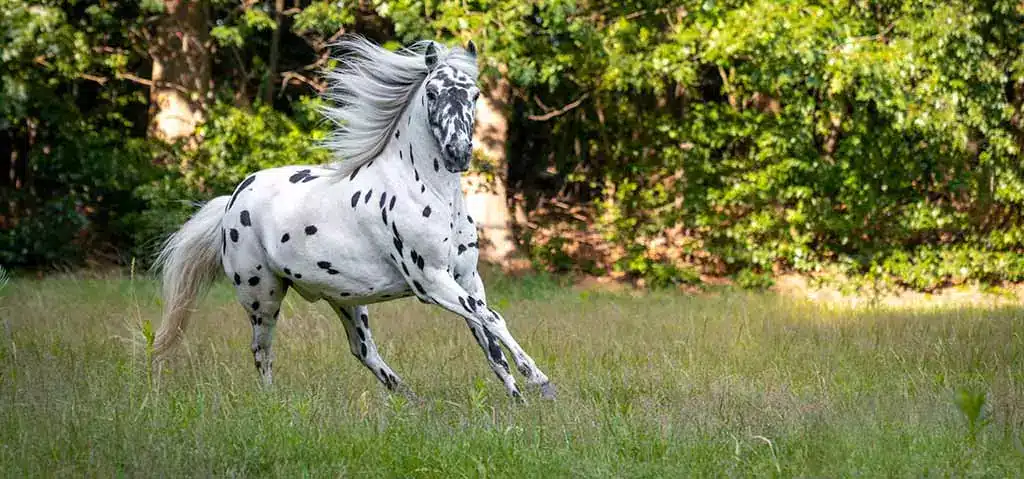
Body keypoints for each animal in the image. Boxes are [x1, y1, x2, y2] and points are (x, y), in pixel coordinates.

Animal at [149, 35, 561, 401]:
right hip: (261, 296)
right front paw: (540, 381)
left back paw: (412, 401)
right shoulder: (432, 282)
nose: (458, 153)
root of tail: (233, 200)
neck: (426, 190)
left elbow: (490, 344)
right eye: (431, 93)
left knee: (363, 351)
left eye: (474, 94)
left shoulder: (467, 278)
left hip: (345, 298)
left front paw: (521, 402)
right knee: (262, 351)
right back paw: (271, 404)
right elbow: (493, 320)